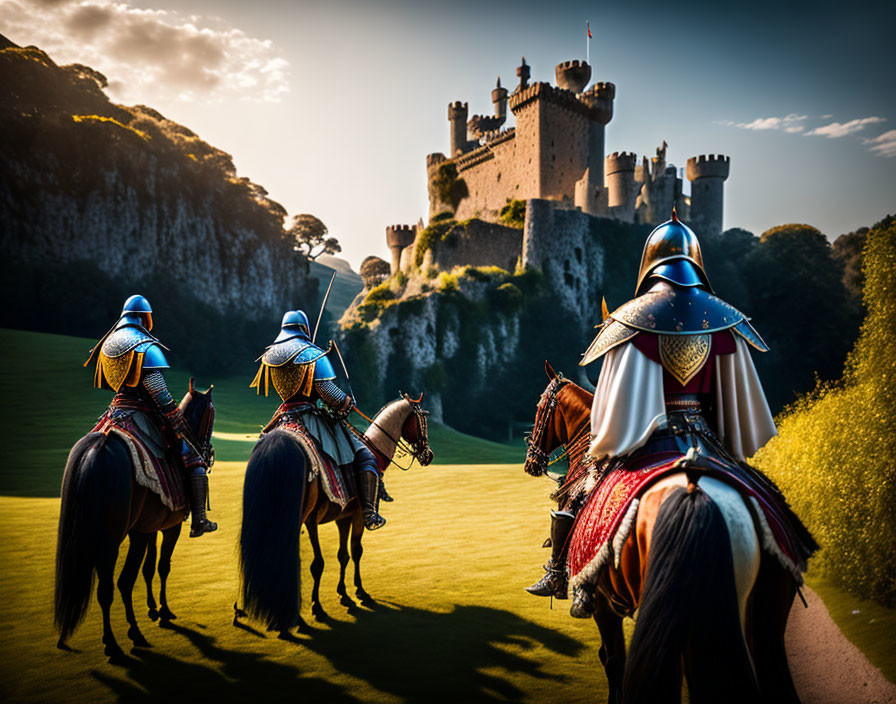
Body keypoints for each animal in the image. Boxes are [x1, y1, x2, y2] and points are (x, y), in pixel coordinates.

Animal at [54, 380, 215, 660]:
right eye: (212, 416)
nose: (207, 452)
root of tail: (94, 451)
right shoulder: (170, 527)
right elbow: (162, 566)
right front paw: (164, 611)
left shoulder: (147, 528)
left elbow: (149, 568)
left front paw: (152, 608)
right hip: (109, 541)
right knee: (115, 585)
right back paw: (121, 639)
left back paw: (69, 637)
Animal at [238, 394, 434, 640]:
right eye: (422, 421)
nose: (429, 455)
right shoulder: (356, 515)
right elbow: (354, 552)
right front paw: (358, 592)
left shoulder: (344, 517)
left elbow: (343, 555)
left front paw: (344, 594)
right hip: (301, 517)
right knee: (300, 560)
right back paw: (297, 619)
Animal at [520, 366, 800, 704]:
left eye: (539, 408)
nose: (530, 462)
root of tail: (696, 497)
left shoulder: (601, 600)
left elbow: (613, 660)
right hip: (765, 616)